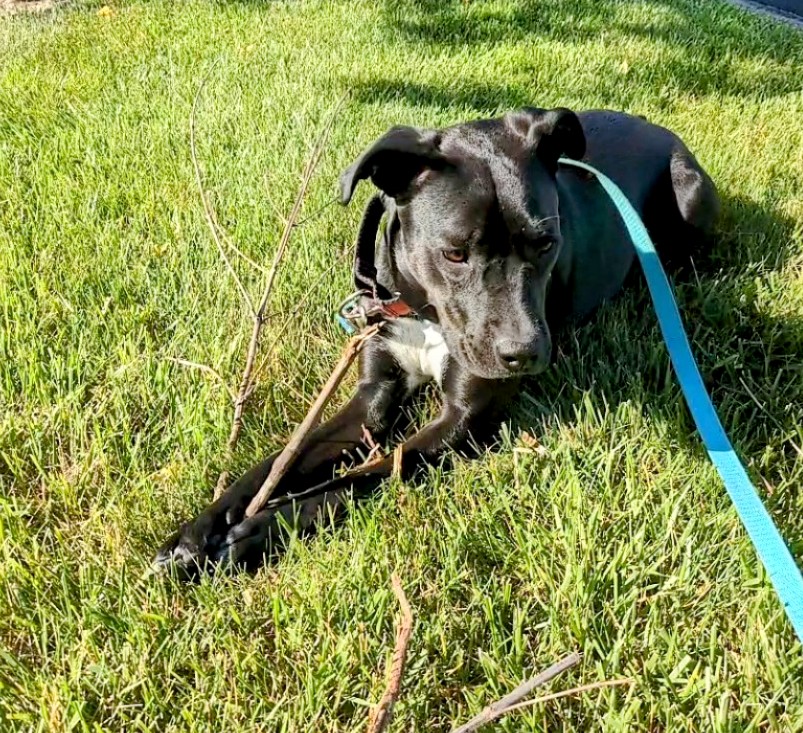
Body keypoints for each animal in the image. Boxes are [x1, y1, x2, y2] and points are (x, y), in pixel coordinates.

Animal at [154, 107, 720, 576]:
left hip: (690, 196)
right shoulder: (373, 394)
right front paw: (201, 530)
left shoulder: (463, 418)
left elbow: (370, 472)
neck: (422, 314)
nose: (525, 355)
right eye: (453, 253)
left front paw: (261, 530)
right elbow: (285, 460)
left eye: (546, 243)